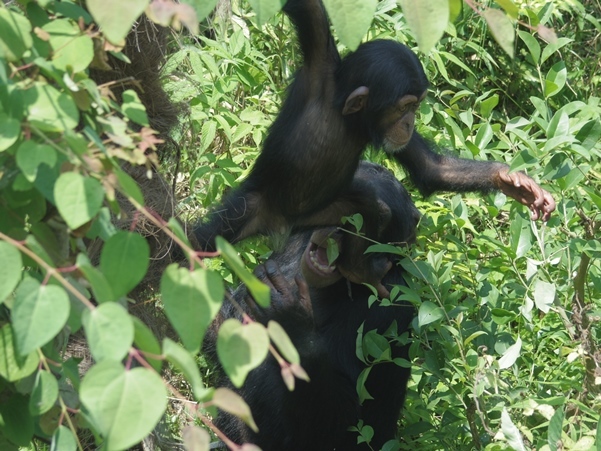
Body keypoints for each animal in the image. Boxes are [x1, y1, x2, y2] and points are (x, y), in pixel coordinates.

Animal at [192, 0, 552, 294]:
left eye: (417, 107)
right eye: (405, 106)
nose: (410, 123)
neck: (348, 118)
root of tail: (280, 224)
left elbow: (431, 169)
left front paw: (515, 183)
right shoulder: (319, 66)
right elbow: (307, 9)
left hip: (322, 213)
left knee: (375, 208)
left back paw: (356, 268)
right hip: (251, 208)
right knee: (202, 241)